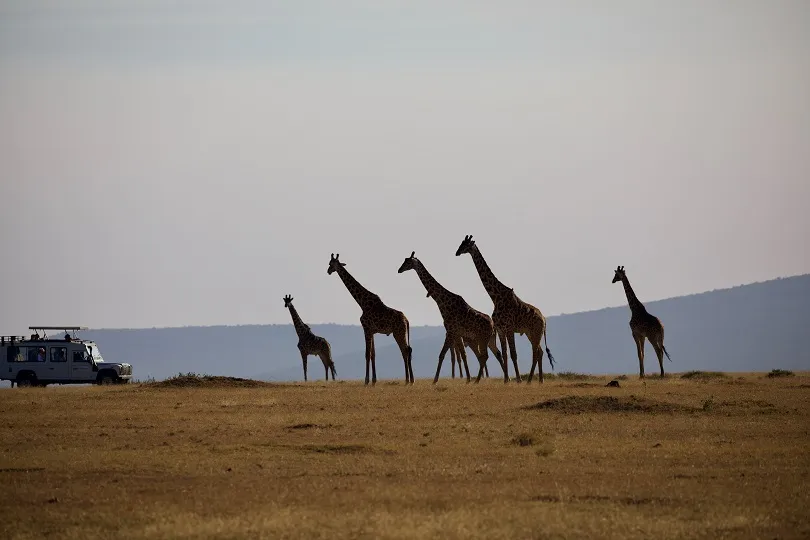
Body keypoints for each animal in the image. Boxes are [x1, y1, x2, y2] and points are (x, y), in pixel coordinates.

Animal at [324, 255, 410, 386]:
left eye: (331, 263)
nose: (328, 271)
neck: (362, 303)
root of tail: (407, 320)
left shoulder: (366, 329)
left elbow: (366, 354)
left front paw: (366, 381)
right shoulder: (372, 331)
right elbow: (373, 354)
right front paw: (374, 381)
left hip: (398, 332)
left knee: (405, 351)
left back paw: (408, 380)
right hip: (401, 332)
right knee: (408, 350)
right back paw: (410, 380)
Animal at [396, 252, 502, 384]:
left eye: (408, 262)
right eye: (404, 260)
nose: (399, 270)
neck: (442, 302)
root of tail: (493, 326)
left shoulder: (451, 331)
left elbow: (442, 354)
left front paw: (435, 380)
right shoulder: (455, 333)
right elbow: (461, 354)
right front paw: (467, 379)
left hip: (483, 339)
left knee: (484, 356)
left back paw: (479, 380)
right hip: (488, 339)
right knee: (494, 354)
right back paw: (504, 378)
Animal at [454, 234, 556, 382]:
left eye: (466, 244)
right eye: (461, 243)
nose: (456, 252)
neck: (495, 297)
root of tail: (544, 319)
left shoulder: (509, 328)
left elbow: (513, 354)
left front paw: (518, 380)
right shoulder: (501, 330)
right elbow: (504, 353)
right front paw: (506, 380)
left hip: (536, 332)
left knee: (536, 352)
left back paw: (531, 380)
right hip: (530, 333)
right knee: (540, 352)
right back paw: (537, 380)